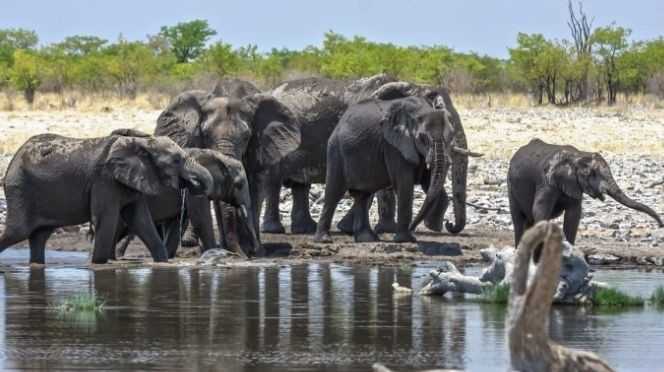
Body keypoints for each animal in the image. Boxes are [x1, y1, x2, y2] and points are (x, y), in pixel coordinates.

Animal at [0, 132, 213, 264]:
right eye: (176, 160)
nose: (193, 184)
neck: (141, 142)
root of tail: (14, 157)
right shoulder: (104, 180)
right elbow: (107, 219)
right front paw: (97, 265)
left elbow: (141, 221)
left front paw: (162, 263)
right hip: (20, 188)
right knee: (17, 232)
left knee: (40, 236)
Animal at [264, 73, 478, 234]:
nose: (450, 225)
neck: (410, 85)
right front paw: (360, 228)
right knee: (274, 181)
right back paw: (275, 230)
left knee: (300, 185)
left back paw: (305, 229)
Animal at [508, 138, 660, 246]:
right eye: (592, 173)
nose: (661, 224)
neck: (578, 155)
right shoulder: (546, 181)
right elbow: (540, 210)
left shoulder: (575, 185)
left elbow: (573, 216)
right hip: (510, 185)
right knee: (519, 221)